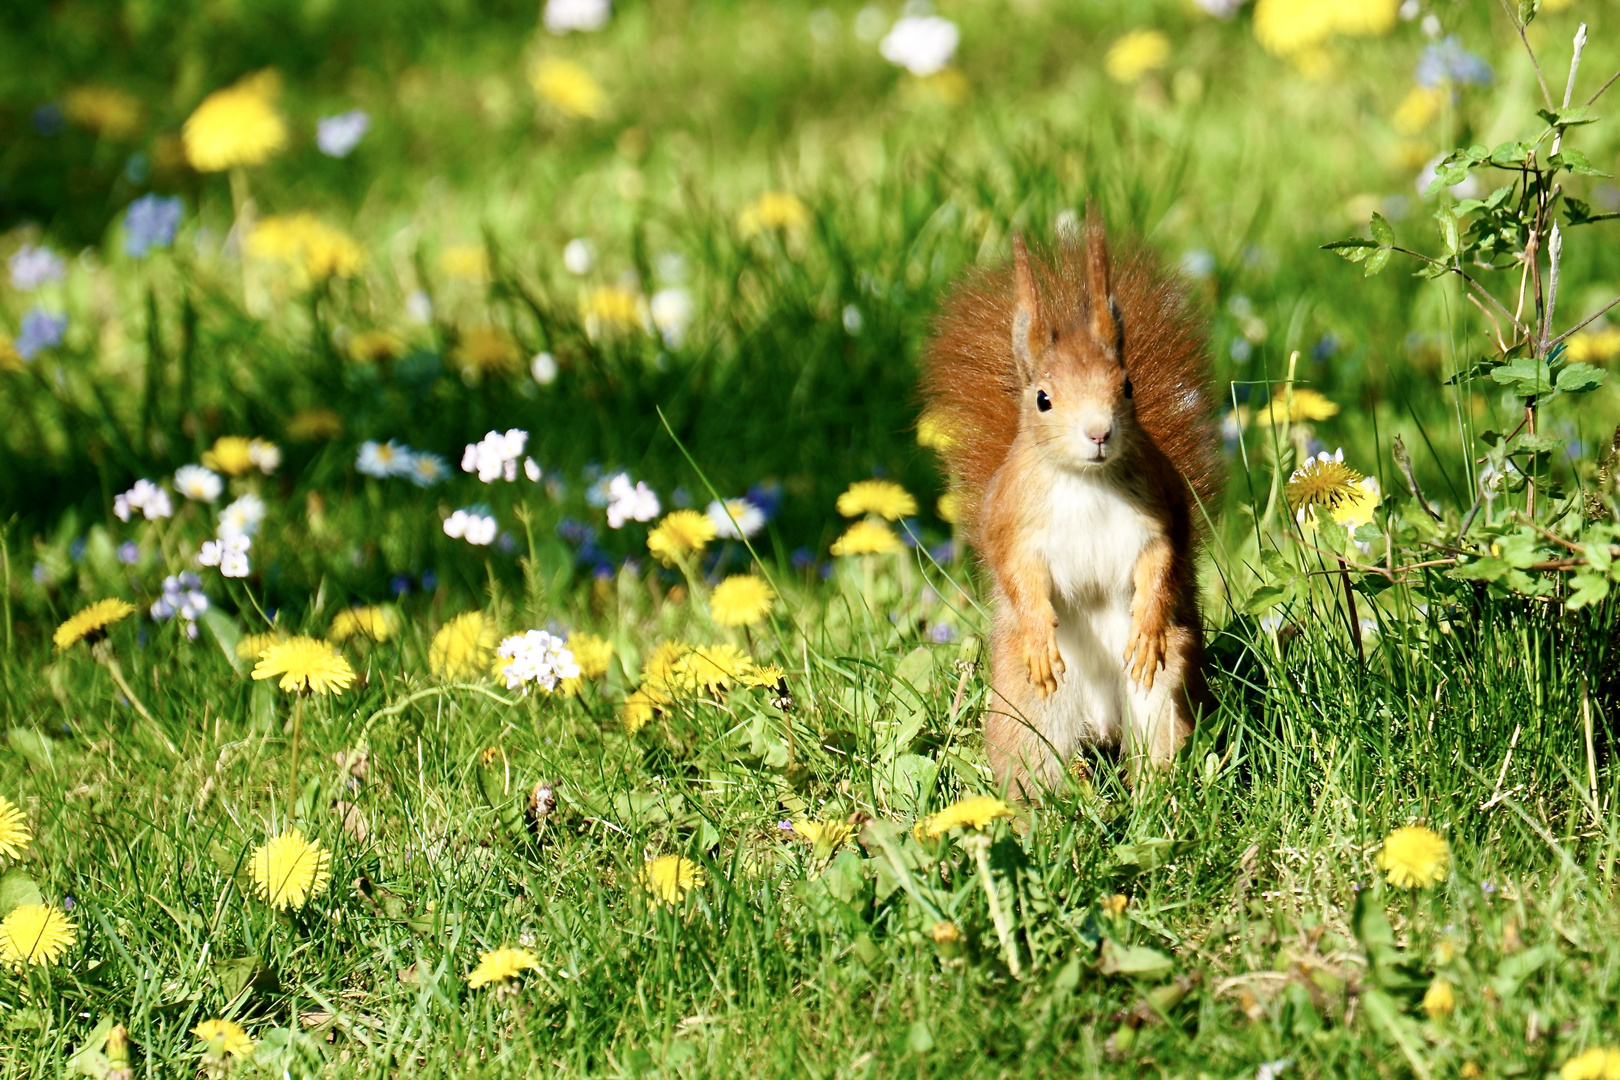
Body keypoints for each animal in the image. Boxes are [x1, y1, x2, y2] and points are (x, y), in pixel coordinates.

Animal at [926, 220, 1218, 793]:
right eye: (1043, 398)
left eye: (1127, 385)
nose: (1099, 432)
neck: (1087, 482)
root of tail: (1101, 724)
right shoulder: (1012, 520)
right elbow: (1017, 573)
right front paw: (1040, 630)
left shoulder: (1161, 507)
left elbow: (1163, 561)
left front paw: (1147, 624)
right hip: (1029, 708)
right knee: (1037, 764)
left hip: (1161, 695)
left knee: (1155, 739)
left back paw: (1154, 793)